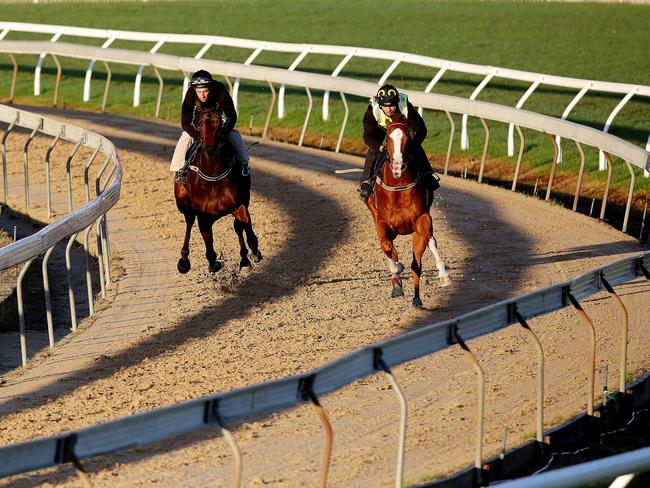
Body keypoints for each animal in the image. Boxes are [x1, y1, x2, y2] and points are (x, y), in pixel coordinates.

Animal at [176, 108, 262, 272]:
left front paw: (253, 253)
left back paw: (245, 258)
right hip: (183, 203)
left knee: (238, 227)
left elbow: (245, 223)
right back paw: (184, 260)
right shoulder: (202, 214)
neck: (213, 174)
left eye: (219, 123)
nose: (209, 149)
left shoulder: (239, 204)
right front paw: (213, 262)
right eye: (200, 122)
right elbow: (208, 241)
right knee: (189, 222)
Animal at [362, 114, 448, 304]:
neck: (398, 186)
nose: (398, 167)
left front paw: (441, 275)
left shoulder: (422, 219)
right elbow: (387, 248)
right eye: (388, 138)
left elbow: (427, 244)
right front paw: (397, 272)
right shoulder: (381, 223)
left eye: (408, 138)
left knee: (424, 252)